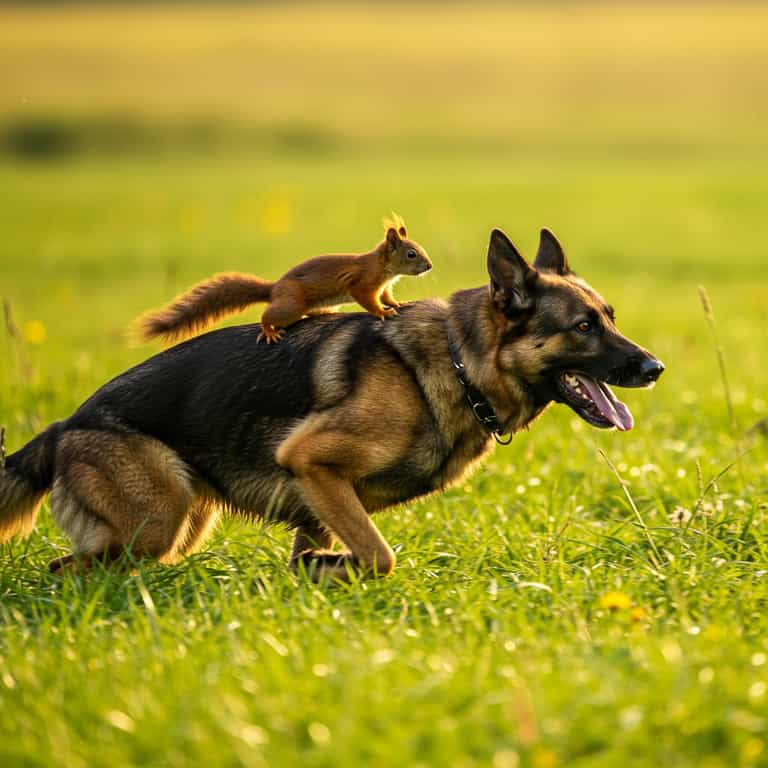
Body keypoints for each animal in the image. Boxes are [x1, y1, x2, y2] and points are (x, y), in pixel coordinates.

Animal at [135, 216, 432, 344]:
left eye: (419, 249)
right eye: (411, 254)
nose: (429, 266)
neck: (382, 267)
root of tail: (275, 288)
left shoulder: (383, 286)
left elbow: (387, 296)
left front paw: (398, 304)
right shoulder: (362, 282)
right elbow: (368, 300)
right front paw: (382, 312)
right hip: (291, 305)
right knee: (268, 315)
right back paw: (269, 331)